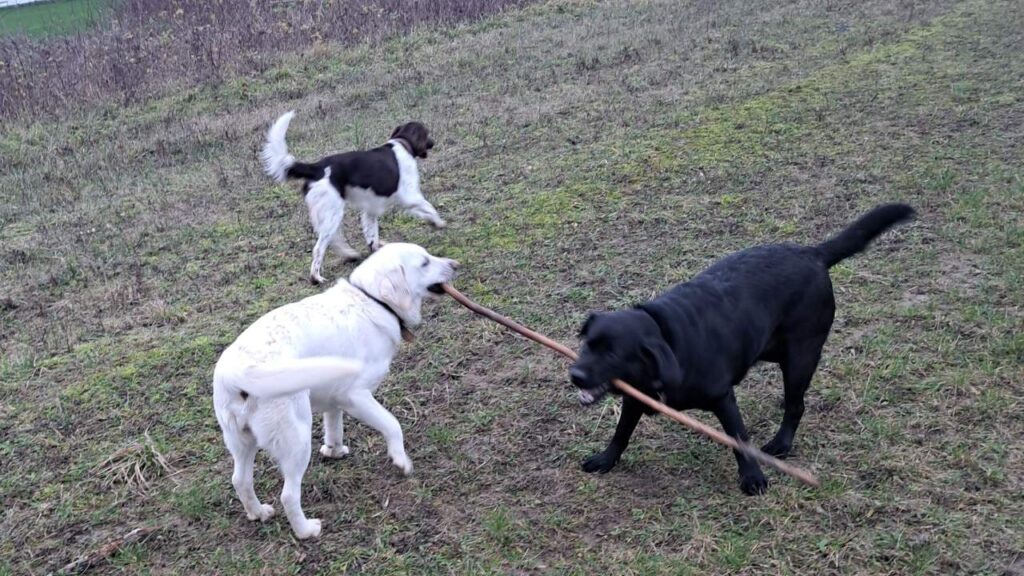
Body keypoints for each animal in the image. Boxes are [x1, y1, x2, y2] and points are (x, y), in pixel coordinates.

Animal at [214, 239, 458, 537]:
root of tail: (239, 372)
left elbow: (334, 427)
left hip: (242, 441)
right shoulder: (356, 395)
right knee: (288, 495)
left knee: (240, 480)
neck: (374, 301)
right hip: (297, 439)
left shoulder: (333, 399)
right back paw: (306, 530)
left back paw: (258, 513)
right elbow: (392, 424)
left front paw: (334, 451)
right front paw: (400, 460)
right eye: (424, 262)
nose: (456, 264)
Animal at [260, 111, 444, 282]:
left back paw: (350, 255)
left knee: (333, 239)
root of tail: (317, 167)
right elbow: (429, 208)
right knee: (320, 247)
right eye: (426, 133)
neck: (402, 143)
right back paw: (317, 277)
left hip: (326, 214)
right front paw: (438, 223)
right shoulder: (409, 195)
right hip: (333, 213)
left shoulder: (371, 210)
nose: (433, 143)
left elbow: (372, 236)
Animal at [573, 202, 917, 494]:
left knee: (796, 405)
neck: (666, 337)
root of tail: (813, 253)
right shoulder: (634, 397)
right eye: (587, 344)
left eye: (612, 353)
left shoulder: (723, 398)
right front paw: (606, 459)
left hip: (800, 357)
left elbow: (739, 438)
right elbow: (621, 432)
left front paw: (753, 477)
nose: (574, 375)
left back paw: (781, 443)